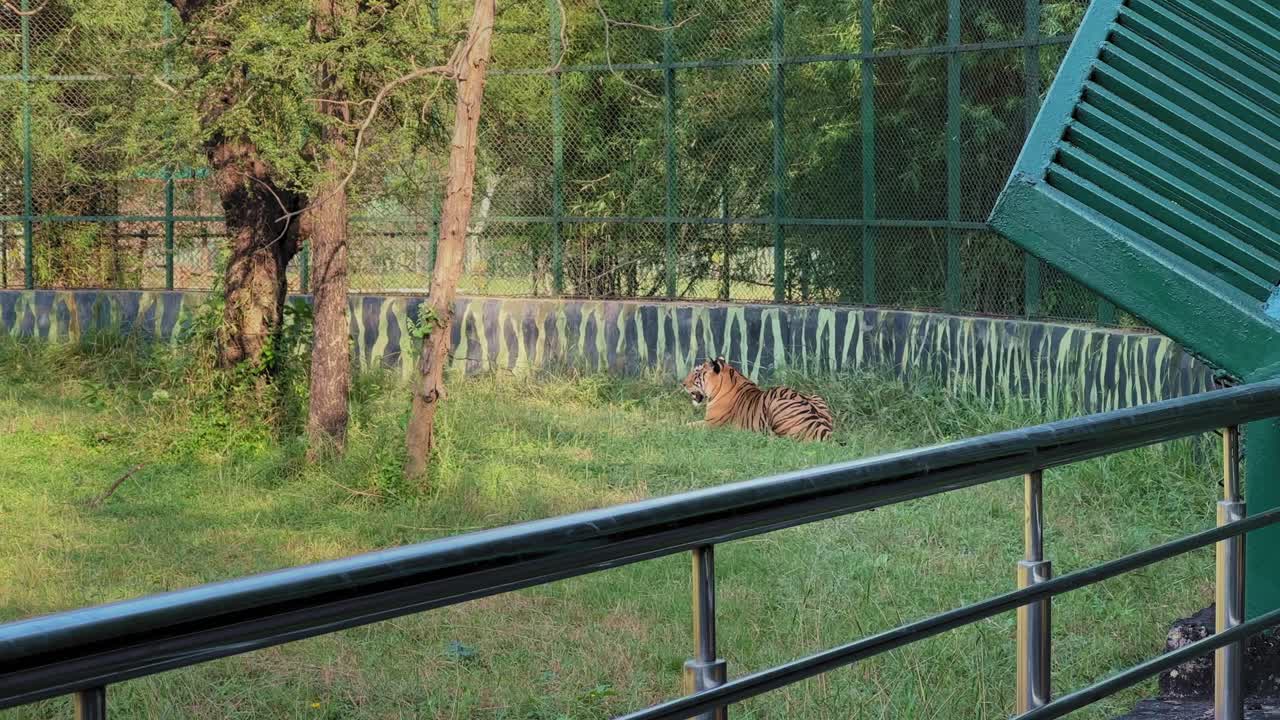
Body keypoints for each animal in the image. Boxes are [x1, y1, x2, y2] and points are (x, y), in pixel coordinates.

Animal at [681, 357, 834, 442]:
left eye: (696, 373)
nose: (682, 384)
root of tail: (825, 430)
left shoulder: (712, 424)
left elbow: (687, 425)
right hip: (816, 396)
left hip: (775, 404)